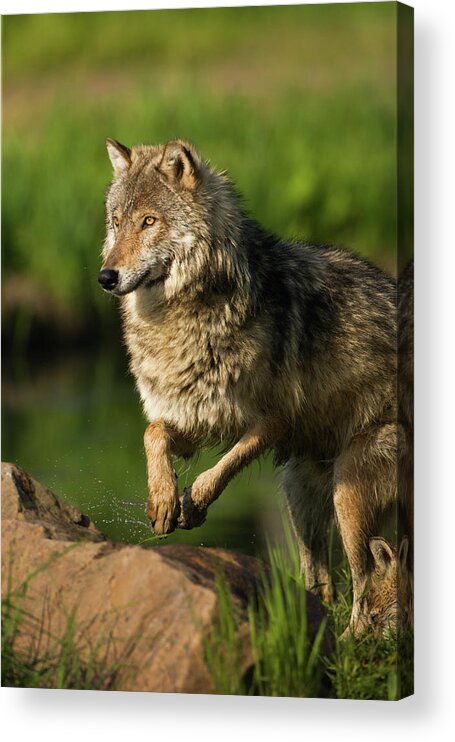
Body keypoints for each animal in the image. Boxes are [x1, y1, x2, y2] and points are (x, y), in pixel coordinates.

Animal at [99, 137, 414, 636]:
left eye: (149, 221)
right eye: (116, 222)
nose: (106, 277)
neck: (182, 316)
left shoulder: (274, 420)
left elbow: (223, 468)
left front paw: (194, 502)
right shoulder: (193, 416)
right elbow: (153, 434)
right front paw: (164, 500)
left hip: (348, 488)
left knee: (364, 582)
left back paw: (348, 641)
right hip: (301, 492)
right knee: (325, 582)